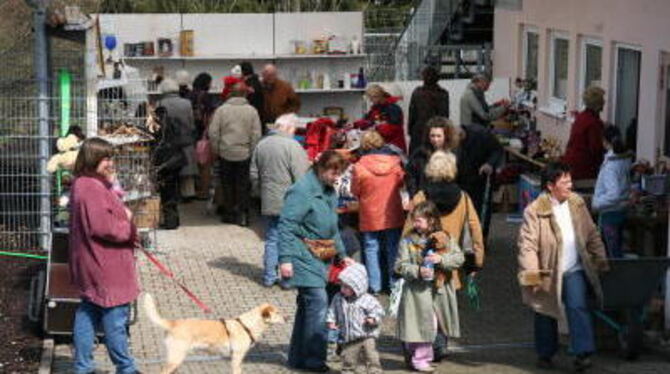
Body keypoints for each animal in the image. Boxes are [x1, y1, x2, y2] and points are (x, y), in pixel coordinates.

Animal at [143, 294, 284, 372]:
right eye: (277, 313)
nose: (287, 318)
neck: (246, 325)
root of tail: (174, 323)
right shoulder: (237, 358)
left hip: (176, 358)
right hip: (175, 358)